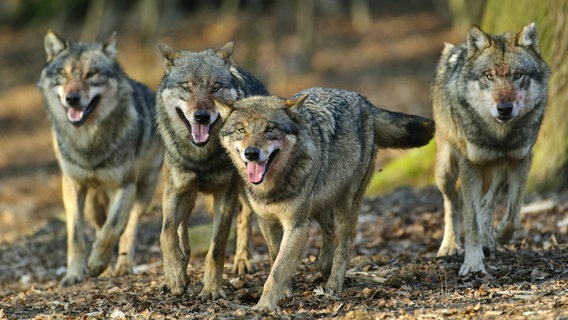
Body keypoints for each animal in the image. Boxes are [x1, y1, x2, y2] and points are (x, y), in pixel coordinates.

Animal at [37, 30, 163, 284]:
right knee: (99, 225)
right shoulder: (72, 185)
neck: (88, 142)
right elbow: (76, 235)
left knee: (128, 228)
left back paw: (122, 266)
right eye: (63, 74)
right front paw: (75, 274)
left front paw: (96, 263)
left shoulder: (124, 187)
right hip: (93, 203)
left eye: (91, 74)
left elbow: (112, 229)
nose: (72, 98)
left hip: (143, 192)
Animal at [155, 41, 268, 298]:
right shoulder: (175, 190)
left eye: (215, 88)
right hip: (188, 198)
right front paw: (175, 276)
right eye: (186, 87)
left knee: (244, 219)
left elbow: (216, 247)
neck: (201, 158)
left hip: (246, 189)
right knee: (182, 232)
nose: (202, 116)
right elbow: (166, 232)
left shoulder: (225, 193)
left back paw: (242, 260)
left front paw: (211, 289)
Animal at [217, 87, 434, 310]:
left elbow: (277, 271)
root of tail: (363, 101)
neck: (273, 187)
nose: (251, 153)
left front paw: (265, 306)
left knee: (344, 247)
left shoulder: (297, 225)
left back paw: (333, 285)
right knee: (328, 231)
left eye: (270, 129)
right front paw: (284, 290)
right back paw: (324, 266)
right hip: (323, 202)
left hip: (347, 206)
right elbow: (276, 258)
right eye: (241, 130)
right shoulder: (266, 221)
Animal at [434, 23, 552, 276]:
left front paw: (498, 236)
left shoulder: (522, 159)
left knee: (487, 203)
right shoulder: (470, 165)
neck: (499, 136)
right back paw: (450, 245)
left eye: (518, 76)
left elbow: (513, 216)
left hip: (501, 171)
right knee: (452, 203)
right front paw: (472, 263)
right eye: (489, 75)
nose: (504, 108)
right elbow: (470, 221)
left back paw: (489, 239)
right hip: (446, 169)